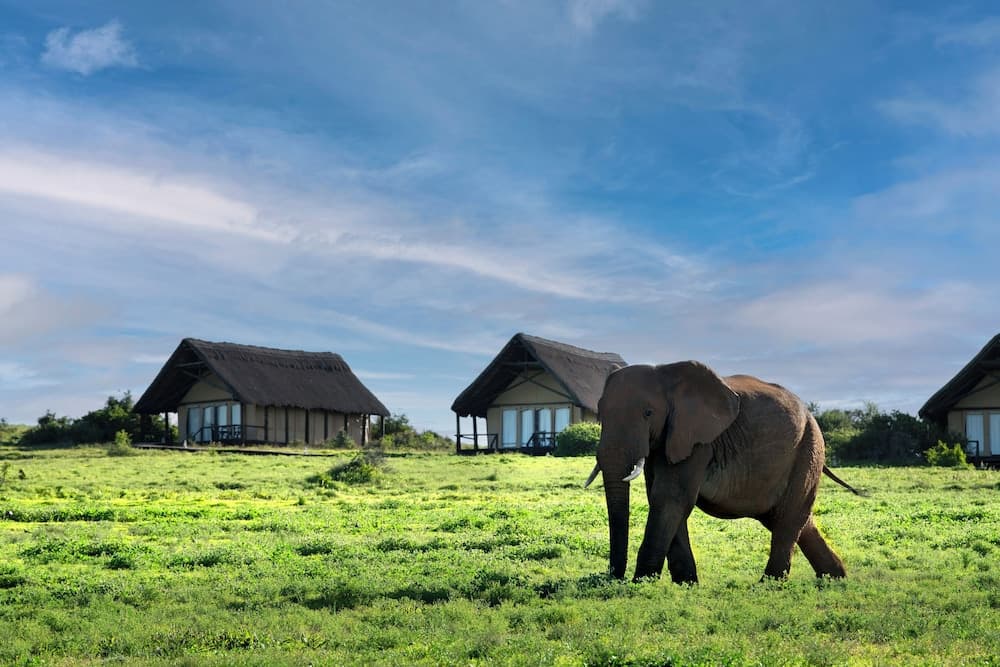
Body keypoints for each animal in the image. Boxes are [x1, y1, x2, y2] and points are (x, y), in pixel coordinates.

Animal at [584, 361, 859, 583]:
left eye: (648, 413)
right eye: (599, 412)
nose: (614, 578)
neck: (665, 373)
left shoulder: (698, 440)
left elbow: (670, 498)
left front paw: (642, 583)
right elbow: (662, 498)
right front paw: (686, 585)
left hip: (808, 449)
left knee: (787, 519)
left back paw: (768, 586)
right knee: (792, 519)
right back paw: (835, 578)